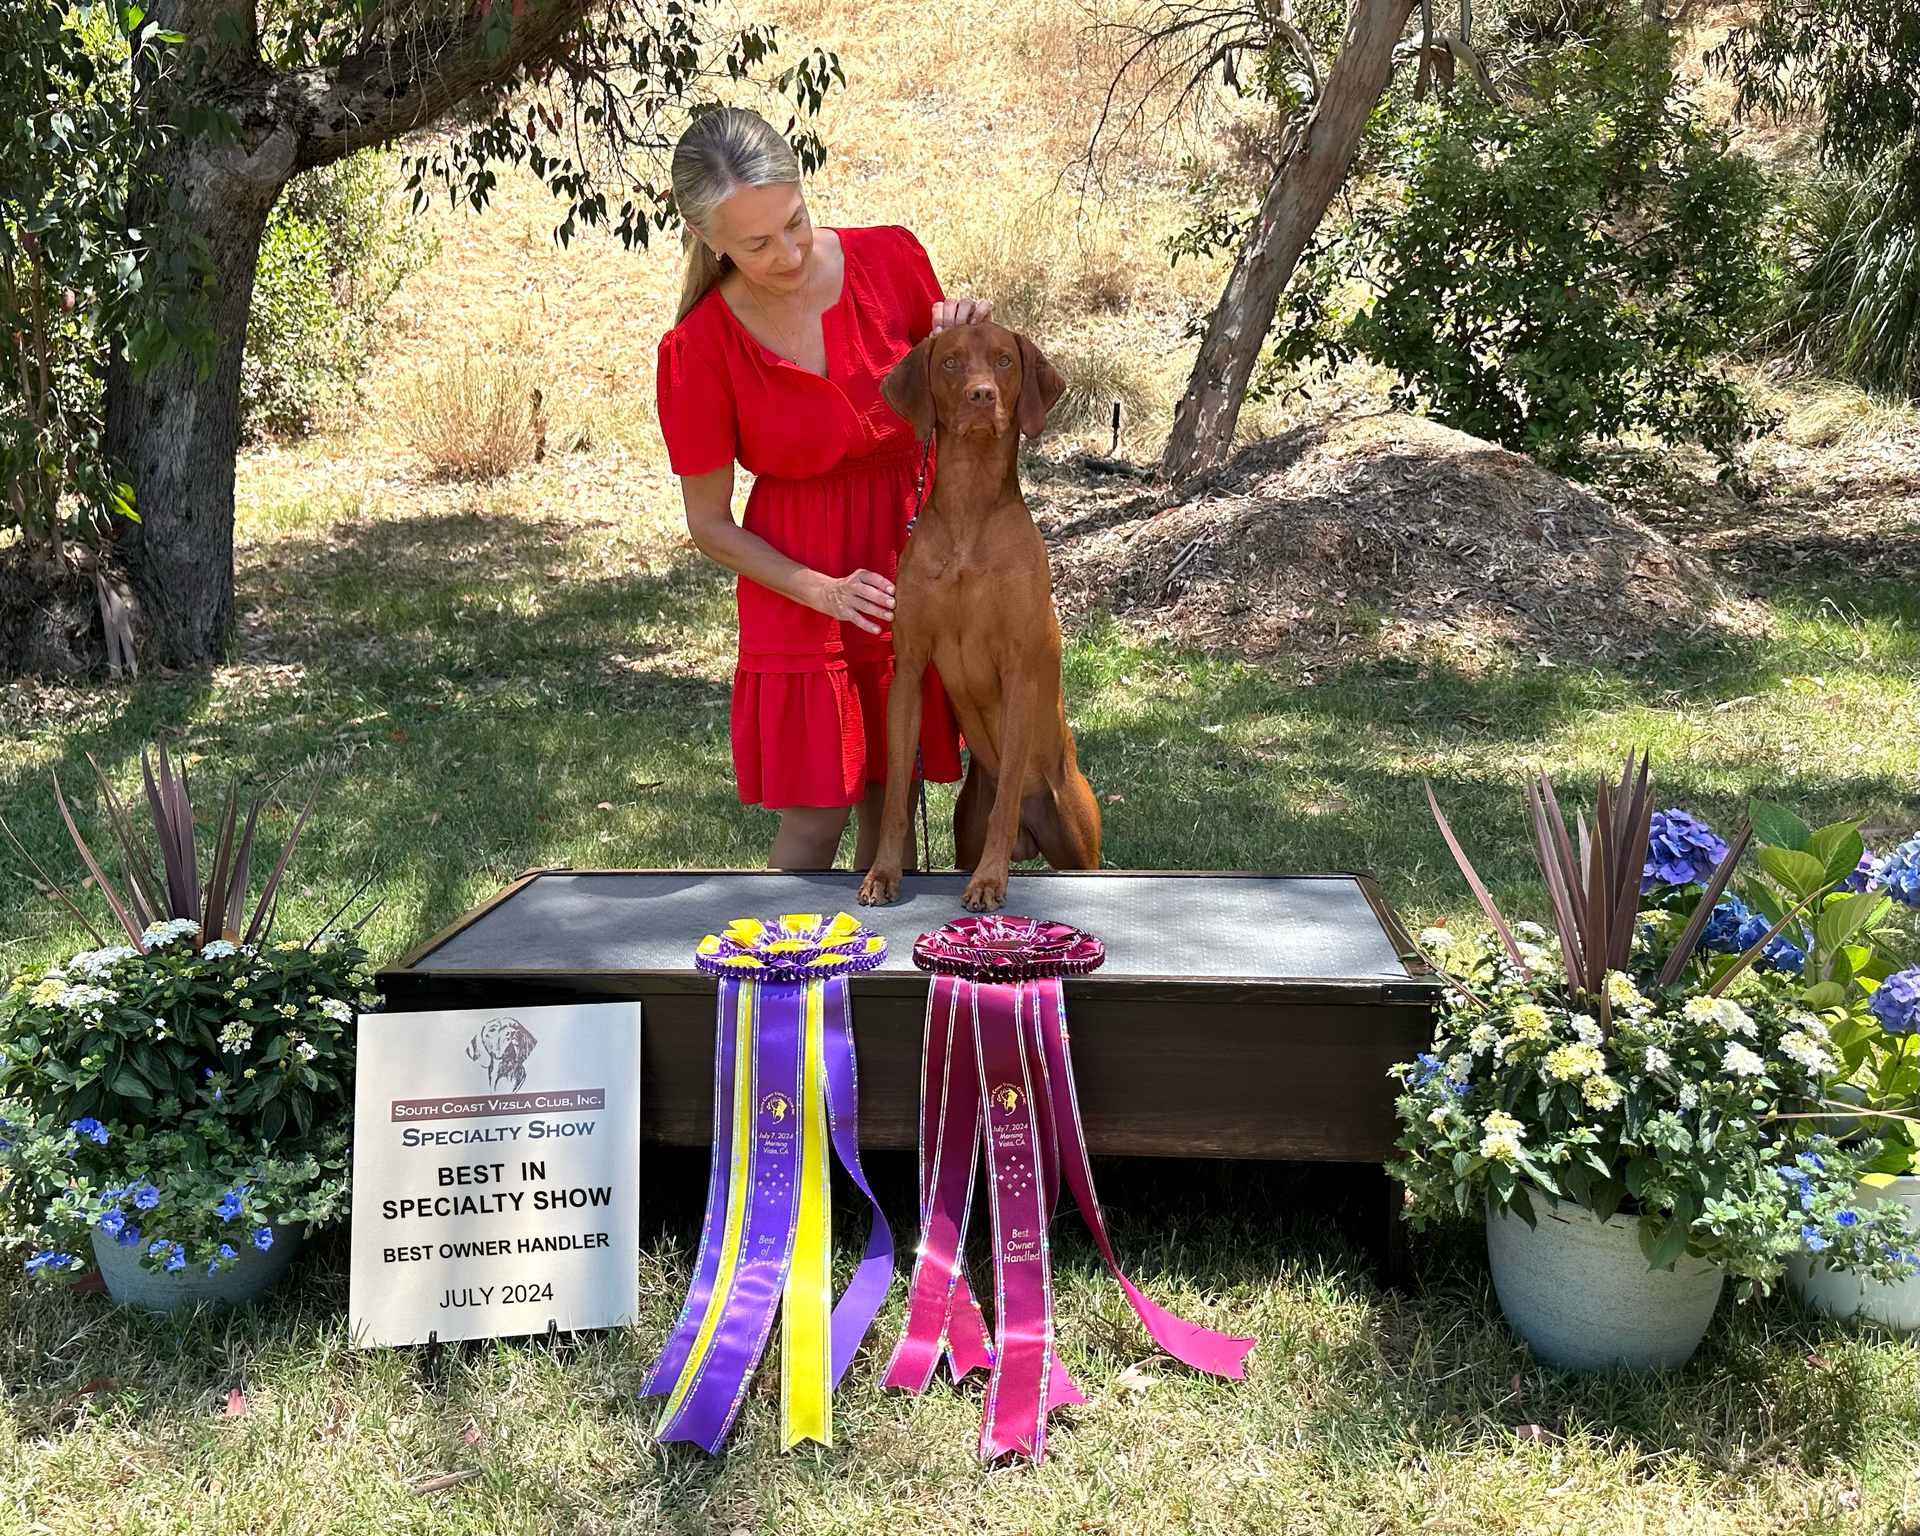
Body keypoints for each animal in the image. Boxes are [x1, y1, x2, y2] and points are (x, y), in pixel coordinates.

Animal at [852, 316, 1098, 906]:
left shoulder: (1019, 673)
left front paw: (989, 881)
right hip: (967, 821)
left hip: (1080, 843)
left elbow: (1005, 801)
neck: (969, 513)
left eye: (1005, 360)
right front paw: (883, 873)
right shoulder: (909, 670)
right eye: (950, 361)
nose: (982, 395)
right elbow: (895, 801)